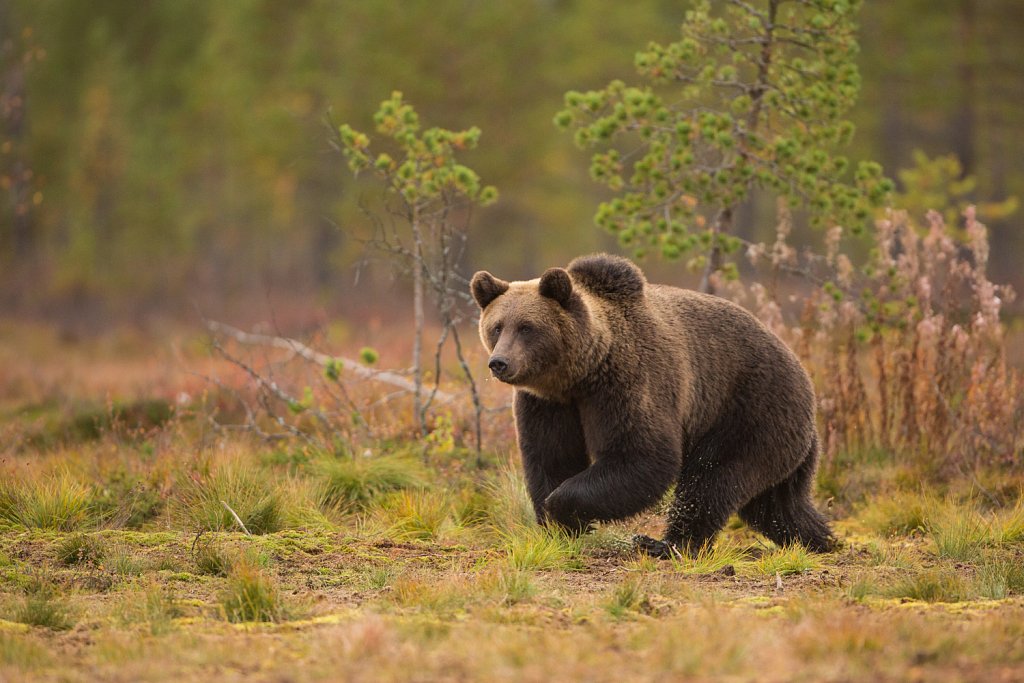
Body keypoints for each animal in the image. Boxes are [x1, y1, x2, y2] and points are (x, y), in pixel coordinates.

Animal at [468, 253, 831, 557]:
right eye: (497, 327)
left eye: (527, 327)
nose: (499, 362)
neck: (580, 374)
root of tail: (804, 376)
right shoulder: (547, 404)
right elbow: (551, 456)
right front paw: (557, 523)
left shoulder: (628, 382)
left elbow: (642, 455)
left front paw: (563, 508)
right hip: (782, 441)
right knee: (778, 502)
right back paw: (819, 539)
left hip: (748, 410)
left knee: (712, 480)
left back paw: (665, 544)